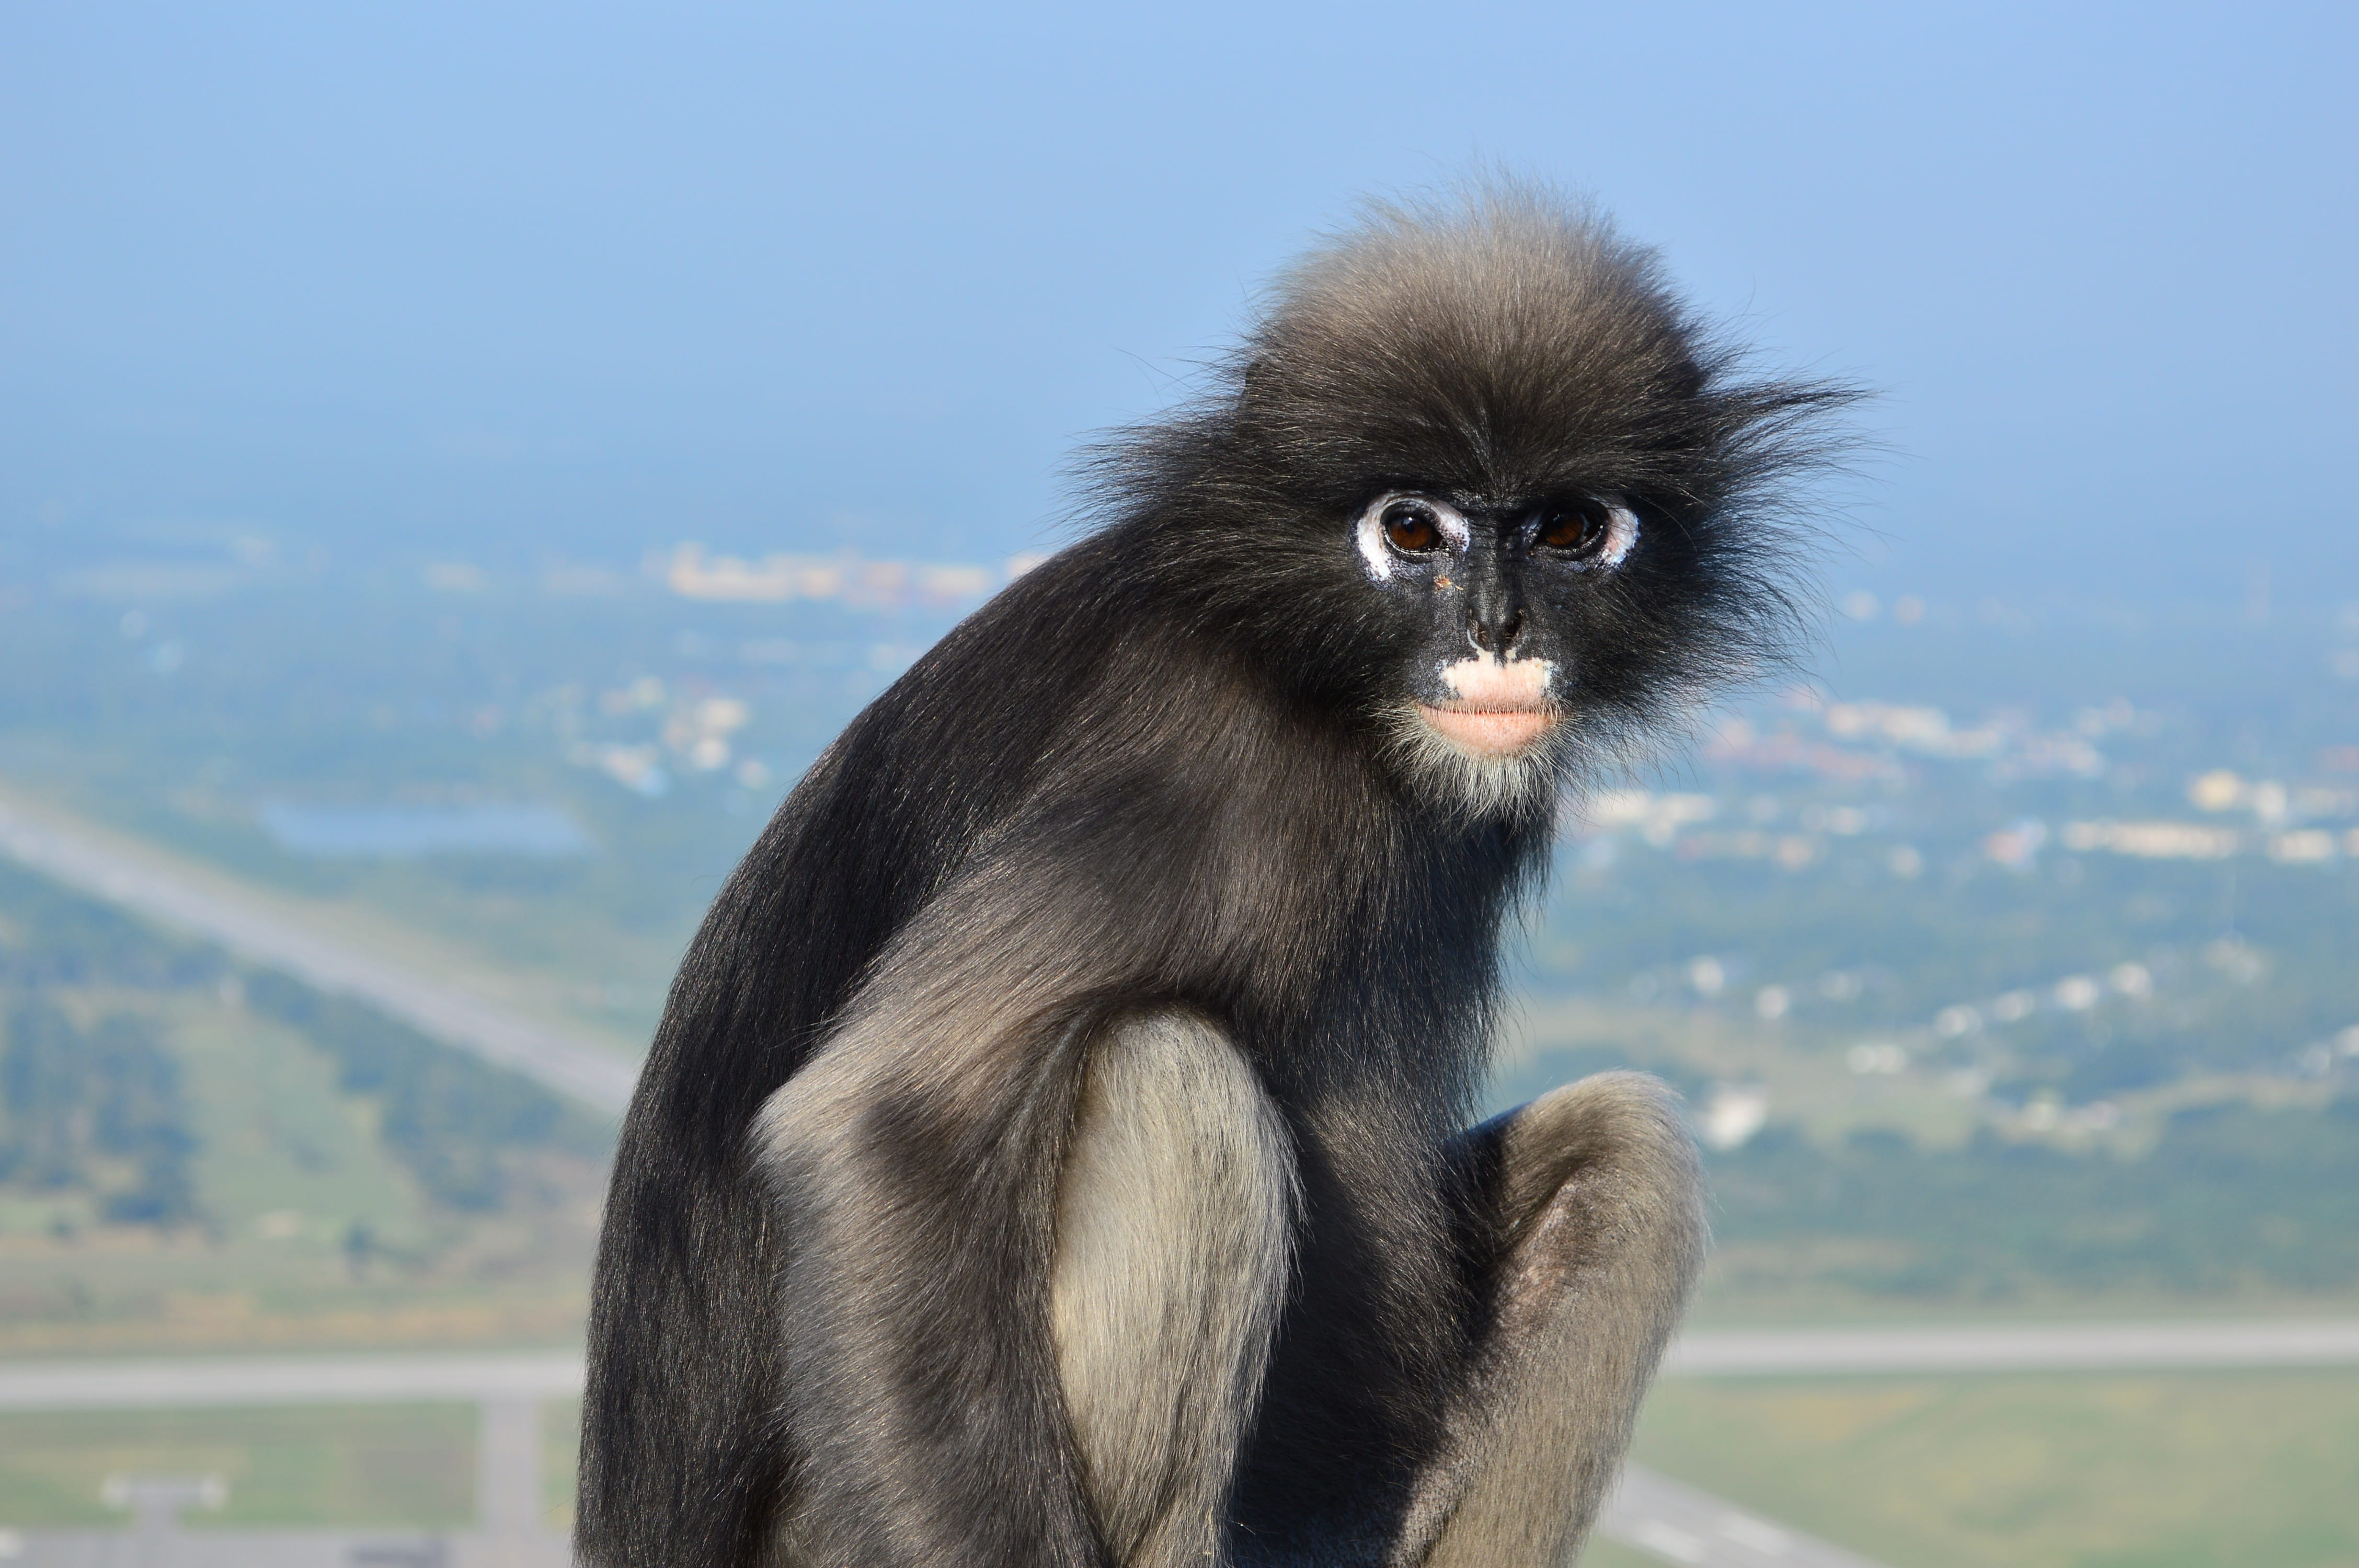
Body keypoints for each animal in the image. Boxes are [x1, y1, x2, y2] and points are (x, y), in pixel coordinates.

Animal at [577, 183, 1852, 1568]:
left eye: (1571, 529)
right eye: (1413, 529)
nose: (1497, 632)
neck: (1308, 671)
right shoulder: (1202, 761)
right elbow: (884, 1120)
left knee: (1625, 1153)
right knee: (1166, 1071)